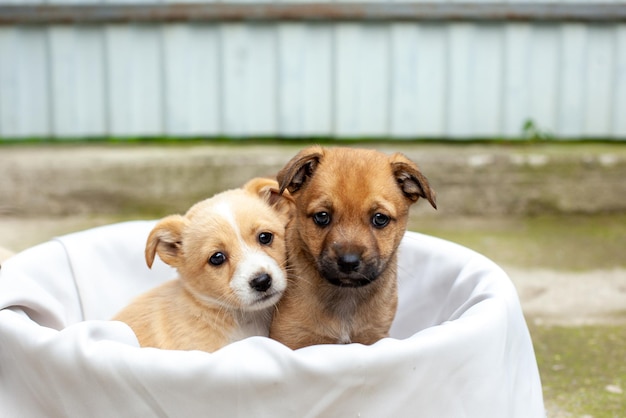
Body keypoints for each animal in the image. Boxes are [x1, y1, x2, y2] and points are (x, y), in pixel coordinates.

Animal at [268, 147, 434, 350]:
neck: (346, 296)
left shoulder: (374, 335)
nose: (348, 262)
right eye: (322, 216)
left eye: (380, 218)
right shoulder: (292, 336)